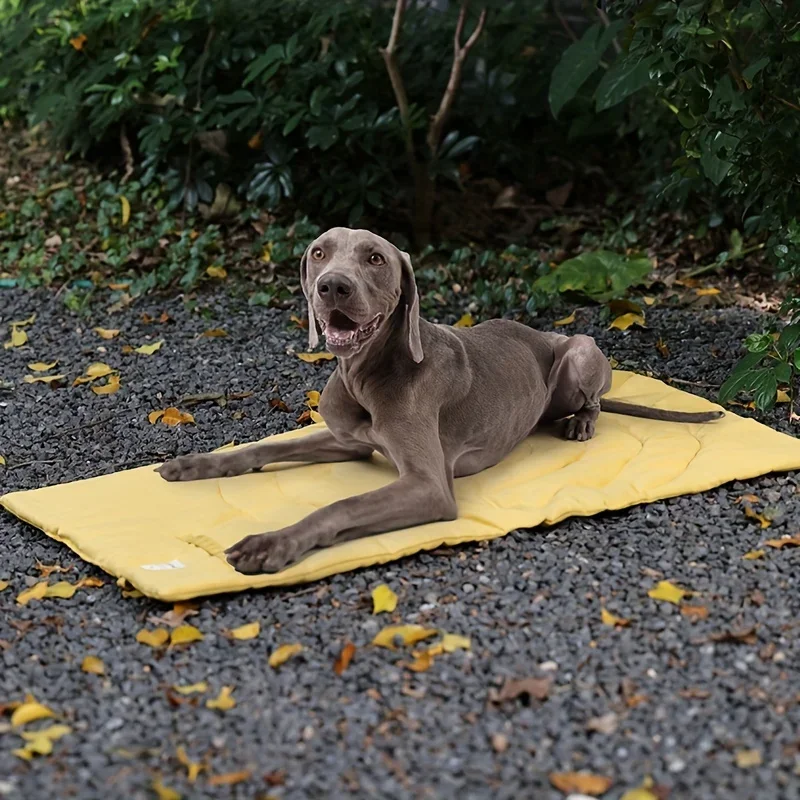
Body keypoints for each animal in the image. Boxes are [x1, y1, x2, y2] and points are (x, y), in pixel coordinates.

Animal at [158, 228, 724, 572]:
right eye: (319, 252)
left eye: (375, 258)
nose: (331, 287)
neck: (369, 373)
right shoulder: (350, 442)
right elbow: (263, 449)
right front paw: (193, 464)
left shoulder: (429, 486)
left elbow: (340, 505)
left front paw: (273, 542)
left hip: (580, 350)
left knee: (596, 401)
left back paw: (580, 423)